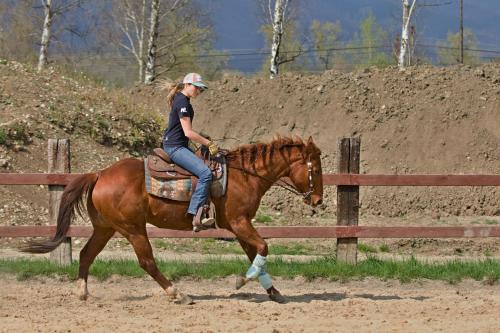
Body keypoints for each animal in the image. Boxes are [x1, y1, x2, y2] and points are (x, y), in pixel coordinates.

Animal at [25, 135, 324, 304]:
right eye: (317, 169)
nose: (318, 200)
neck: (244, 175)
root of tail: (100, 174)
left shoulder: (240, 226)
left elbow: (255, 254)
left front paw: (273, 291)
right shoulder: (239, 222)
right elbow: (262, 248)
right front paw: (243, 281)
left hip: (105, 227)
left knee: (87, 254)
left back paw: (83, 293)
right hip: (133, 228)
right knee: (146, 261)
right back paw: (177, 293)